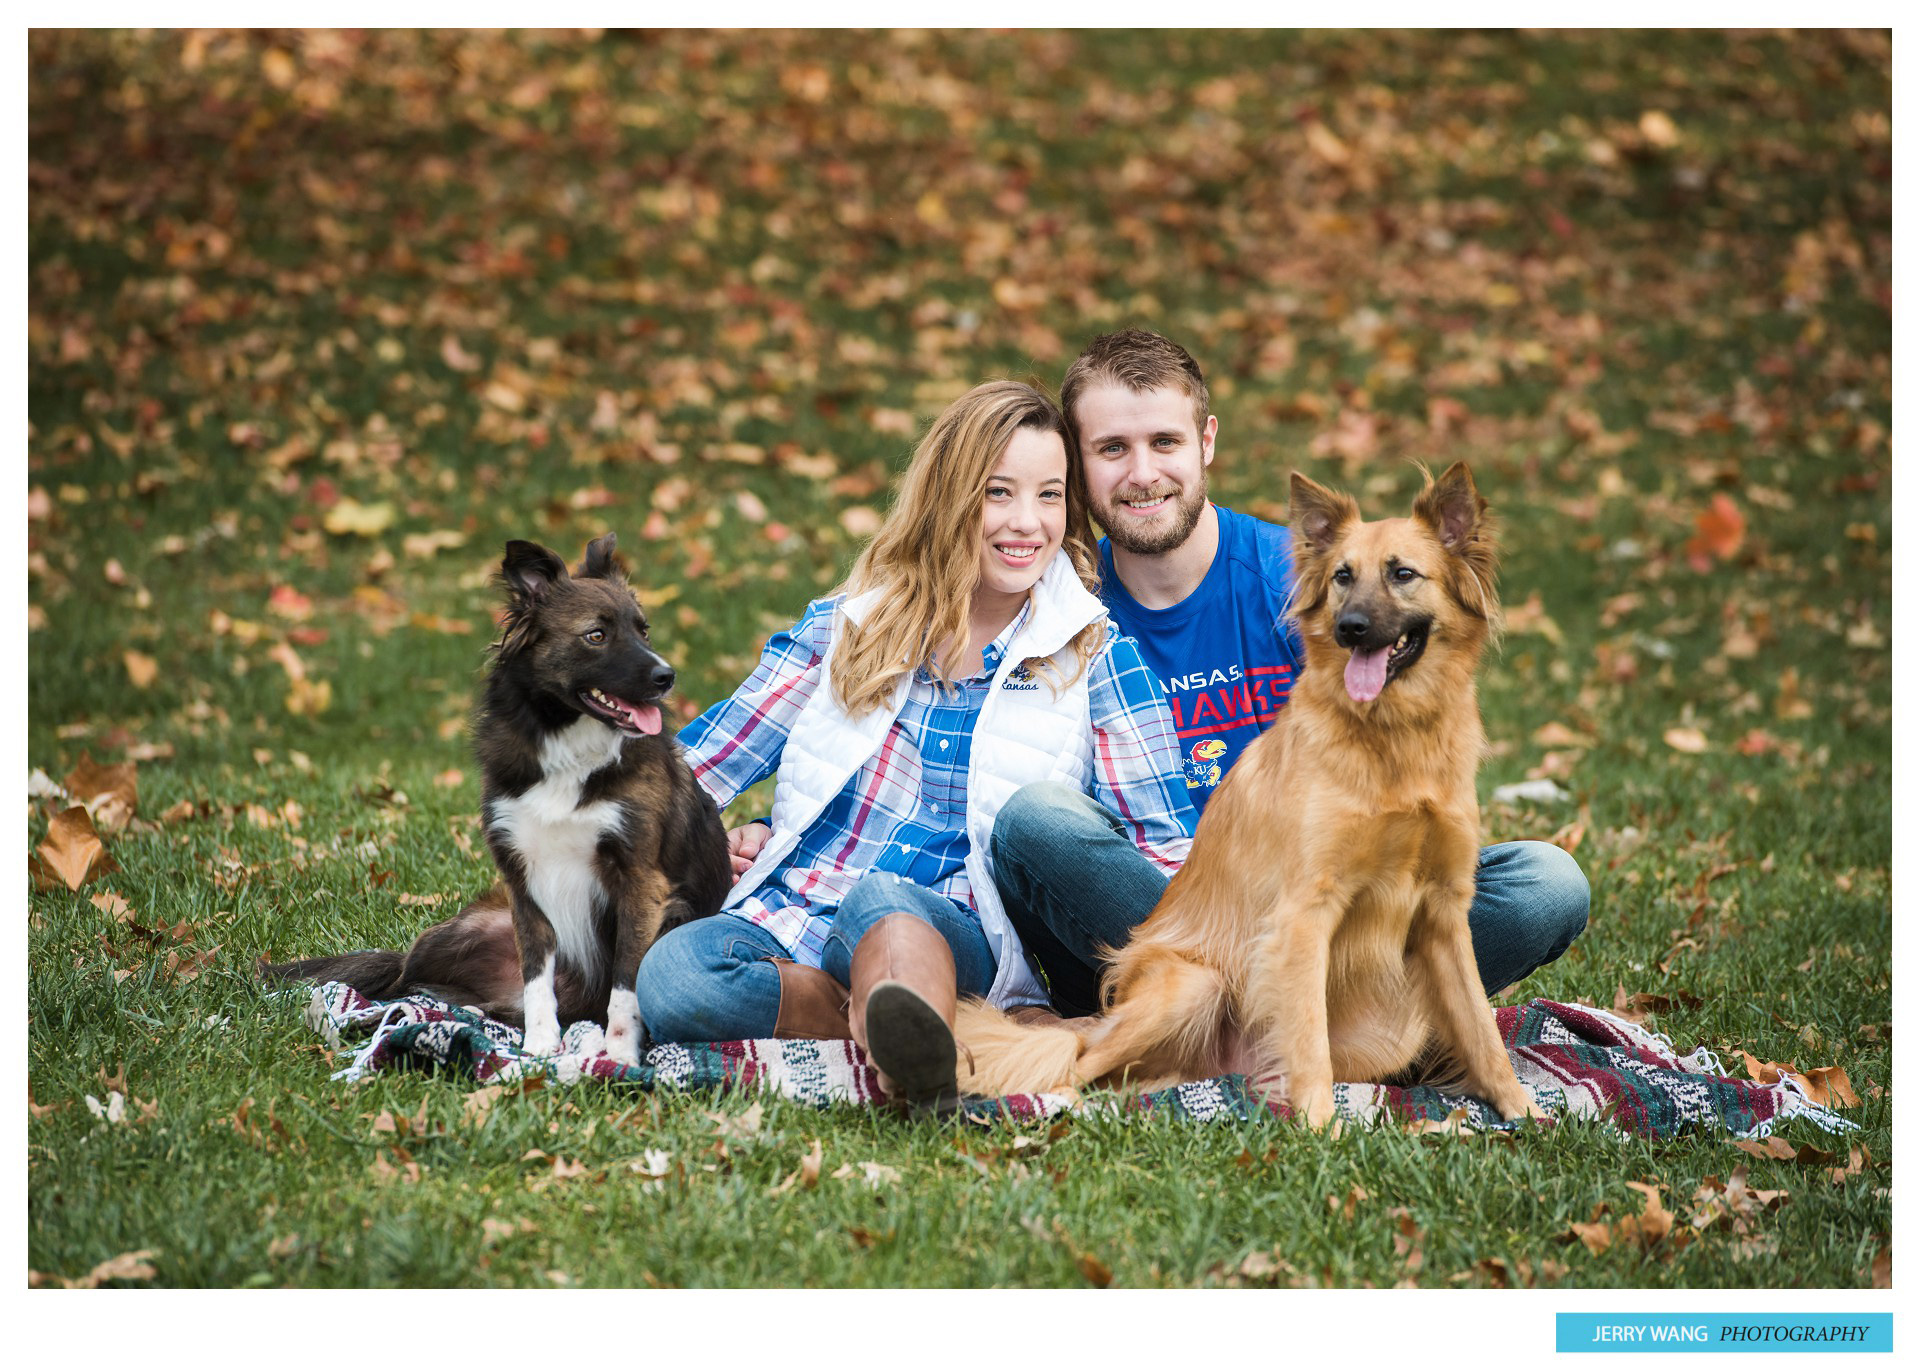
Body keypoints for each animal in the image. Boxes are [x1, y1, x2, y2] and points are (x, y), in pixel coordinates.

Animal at [263, 529, 725, 1059]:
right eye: (596, 635)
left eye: (643, 631)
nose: (667, 677)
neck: (568, 745)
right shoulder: (524, 880)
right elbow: (537, 978)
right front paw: (540, 1049)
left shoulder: (641, 883)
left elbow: (626, 984)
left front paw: (618, 1056)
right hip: (456, 933)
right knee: (404, 987)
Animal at [956, 464, 1543, 1128]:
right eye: (1342, 577)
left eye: (1403, 574)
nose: (1350, 629)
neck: (1393, 740)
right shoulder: (1303, 915)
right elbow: (1308, 1036)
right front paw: (1321, 1127)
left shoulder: (1444, 913)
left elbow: (1481, 1029)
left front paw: (1521, 1107)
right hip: (1194, 986)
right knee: (1075, 1064)